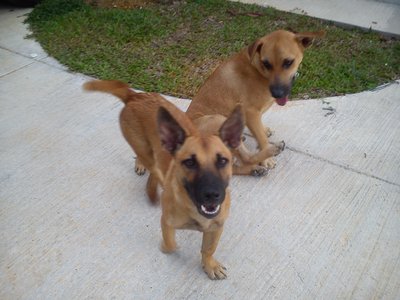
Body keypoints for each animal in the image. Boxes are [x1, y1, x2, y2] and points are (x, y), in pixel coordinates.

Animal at [83, 79, 244, 278]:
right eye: (189, 162)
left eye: (222, 161)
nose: (212, 195)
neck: (193, 208)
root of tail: (134, 96)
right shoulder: (166, 222)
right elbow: (171, 244)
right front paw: (166, 247)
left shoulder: (216, 227)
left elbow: (208, 249)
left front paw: (209, 265)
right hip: (143, 149)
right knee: (151, 166)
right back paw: (149, 180)